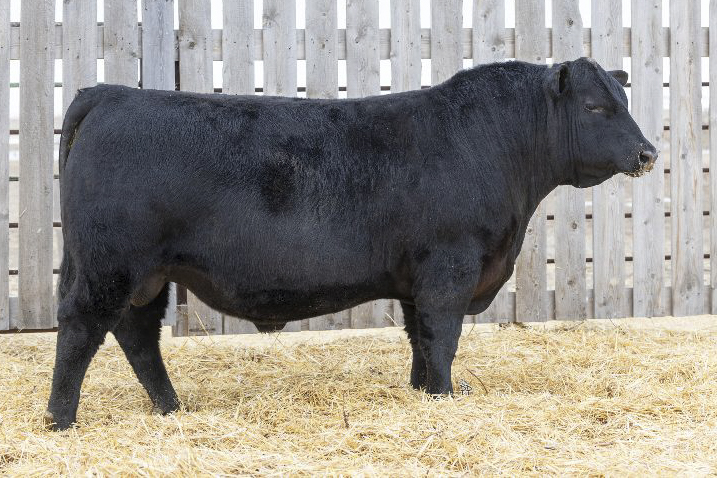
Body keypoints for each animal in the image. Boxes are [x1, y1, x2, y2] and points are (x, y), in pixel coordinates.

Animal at [45, 57, 657, 430]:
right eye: (596, 107)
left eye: (624, 100)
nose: (648, 152)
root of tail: (111, 94)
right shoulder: (450, 267)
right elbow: (443, 338)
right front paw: (445, 397)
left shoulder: (414, 279)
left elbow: (419, 340)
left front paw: (422, 394)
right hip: (109, 263)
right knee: (81, 327)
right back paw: (61, 420)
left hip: (146, 275)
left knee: (137, 336)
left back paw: (172, 409)